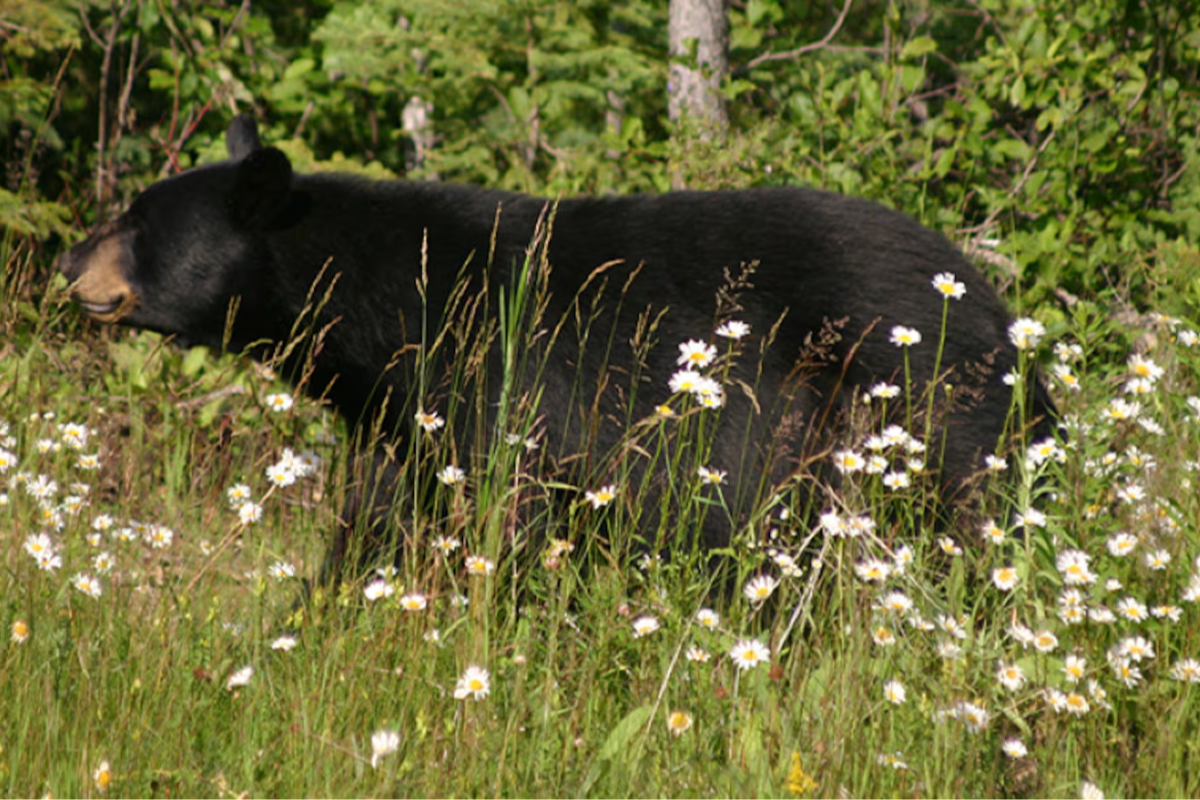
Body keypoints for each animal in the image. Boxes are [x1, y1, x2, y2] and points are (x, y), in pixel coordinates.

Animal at [60, 114, 1054, 591]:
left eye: (138, 221)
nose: (67, 261)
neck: (390, 311)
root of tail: (1003, 316)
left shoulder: (505, 387)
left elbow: (516, 516)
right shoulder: (399, 420)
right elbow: (377, 526)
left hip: (922, 412)